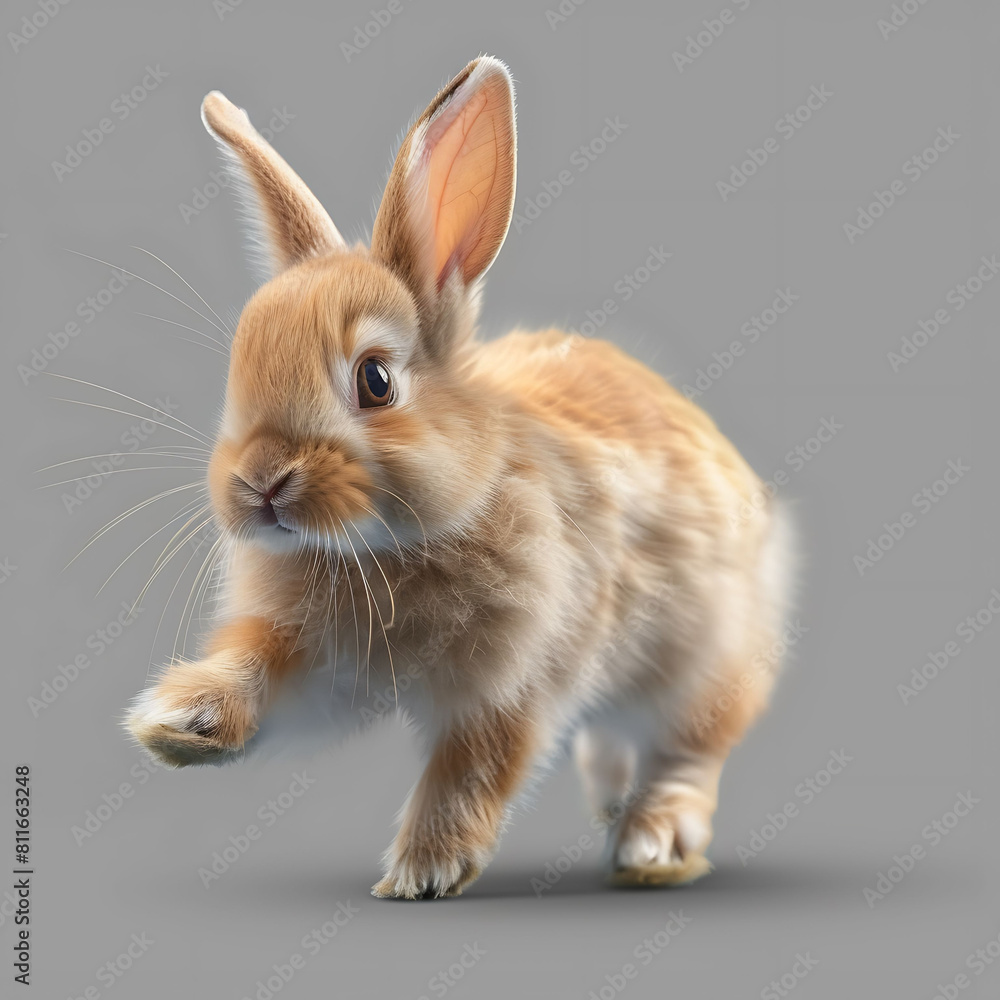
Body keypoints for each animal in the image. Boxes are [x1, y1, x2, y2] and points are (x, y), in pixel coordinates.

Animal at [125, 55, 794, 899]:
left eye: (375, 381)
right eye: (239, 368)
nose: (261, 482)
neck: (387, 546)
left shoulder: (517, 678)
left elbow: (474, 765)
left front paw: (423, 870)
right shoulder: (311, 653)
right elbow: (256, 666)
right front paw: (178, 723)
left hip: (703, 657)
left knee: (690, 749)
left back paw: (650, 843)